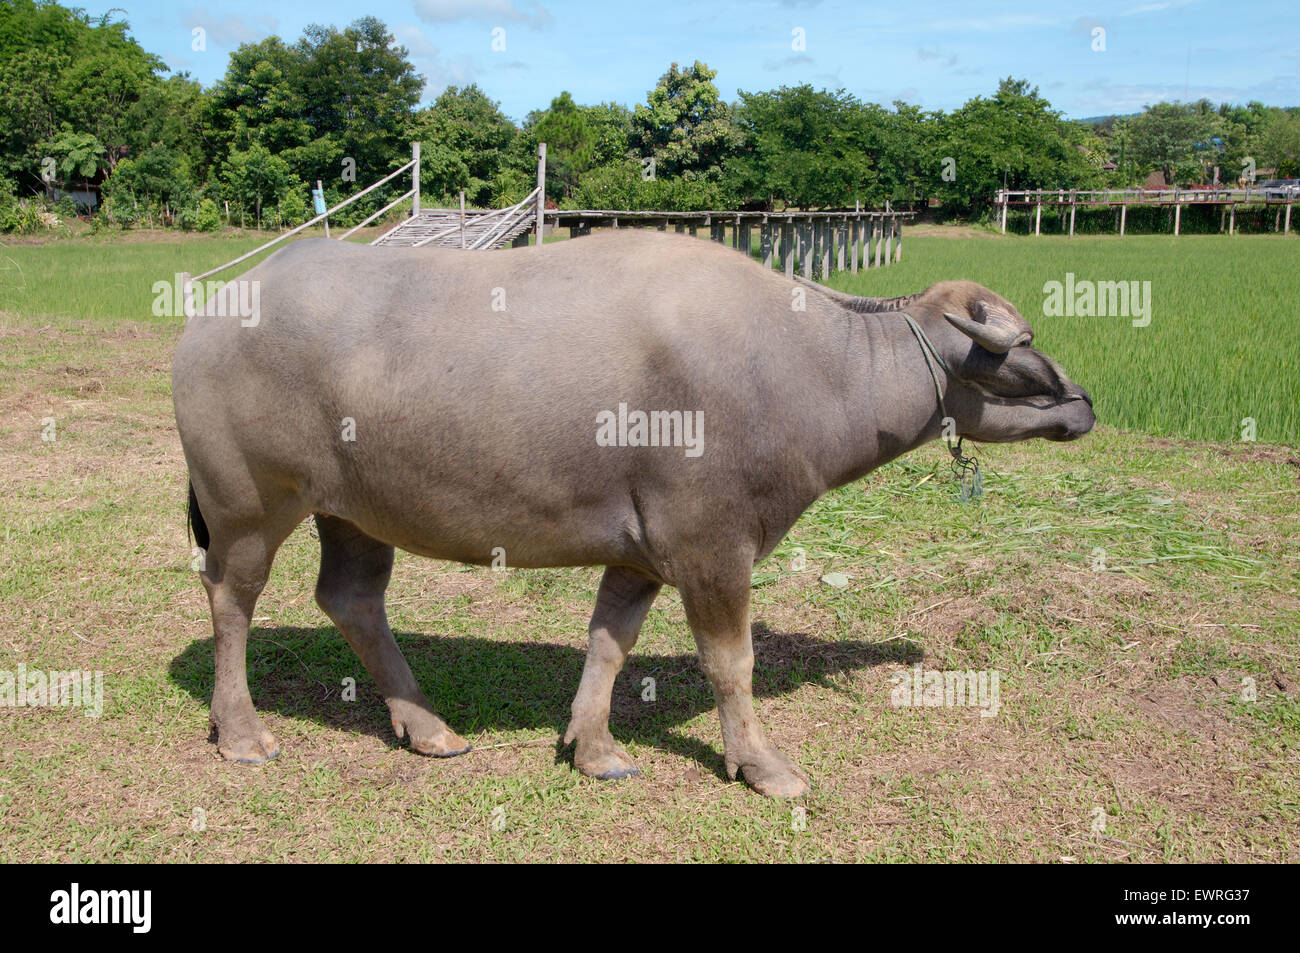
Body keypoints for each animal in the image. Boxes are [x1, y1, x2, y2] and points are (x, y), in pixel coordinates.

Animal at [170, 230, 1086, 795]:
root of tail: (215, 309)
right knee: (231, 600)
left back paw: (426, 724)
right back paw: (241, 730)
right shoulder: (714, 547)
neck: (806, 366)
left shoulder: (640, 554)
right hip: (249, 505)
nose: (1082, 406)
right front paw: (762, 764)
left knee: (352, 598)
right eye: (1023, 355)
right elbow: (732, 663)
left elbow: (610, 643)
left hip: (355, 512)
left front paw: (595, 747)